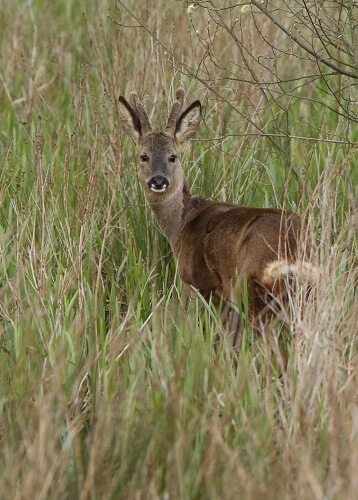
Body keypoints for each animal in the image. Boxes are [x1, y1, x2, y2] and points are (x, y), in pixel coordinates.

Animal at [119, 89, 314, 344]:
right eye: (143, 156)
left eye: (173, 156)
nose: (159, 181)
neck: (180, 224)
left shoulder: (203, 283)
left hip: (251, 288)